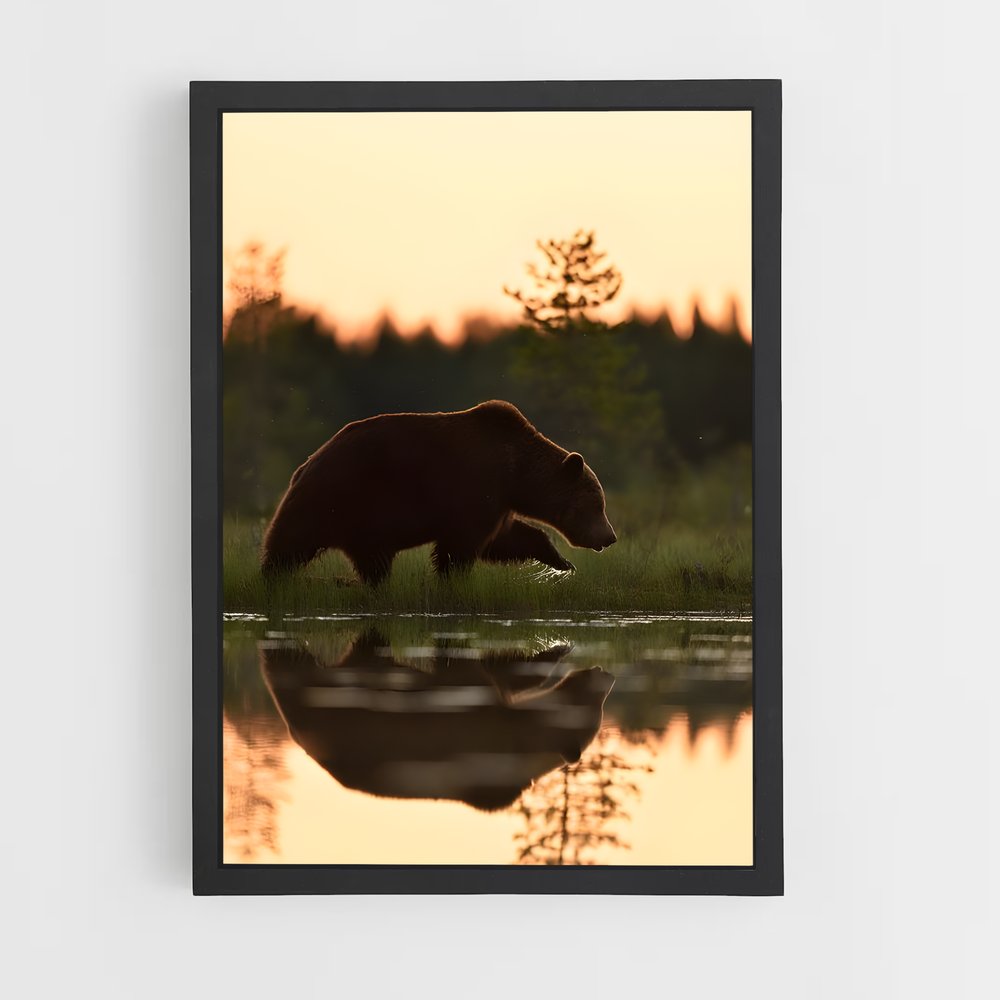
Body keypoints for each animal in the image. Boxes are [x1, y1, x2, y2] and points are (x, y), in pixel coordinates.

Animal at [260, 400, 617, 585]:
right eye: (597, 504)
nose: (610, 536)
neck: (516, 471)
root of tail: (307, 463)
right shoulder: (476, 484)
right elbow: (461, 545)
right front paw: (452, 578)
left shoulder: (497, 502)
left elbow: (508, 538)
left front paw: (561, 562)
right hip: (340, 496)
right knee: (290, 542)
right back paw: (271, 577)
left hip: (359, 521)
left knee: (371, 559)